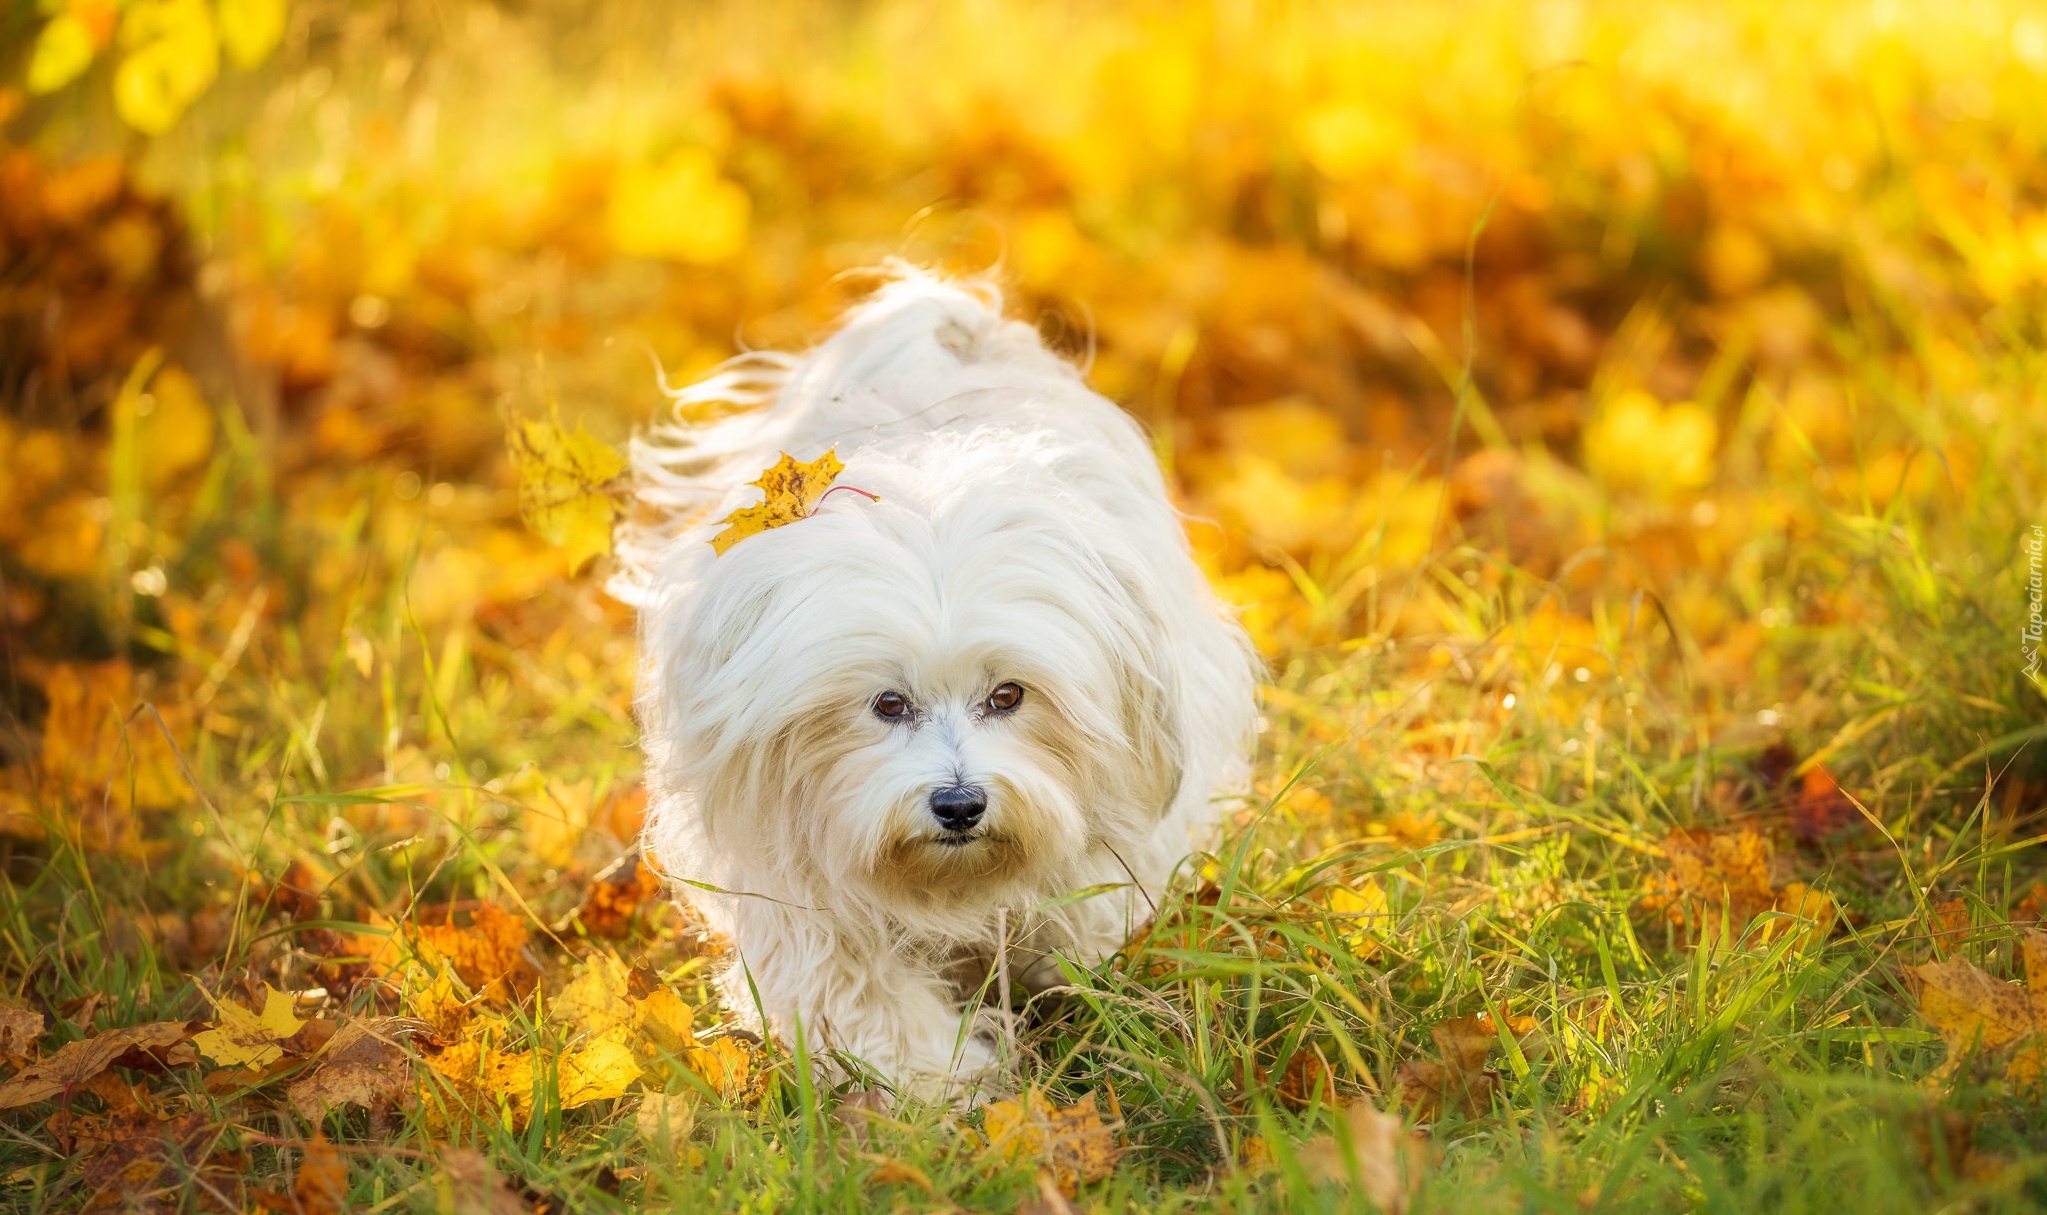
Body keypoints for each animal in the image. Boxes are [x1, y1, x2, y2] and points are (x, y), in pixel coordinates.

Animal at [605, 267, 1252, 1096]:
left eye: (1008, 696)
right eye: (888, 703)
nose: (958, 803)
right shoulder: (798, 883)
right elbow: (861, 996)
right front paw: (941, 1088)